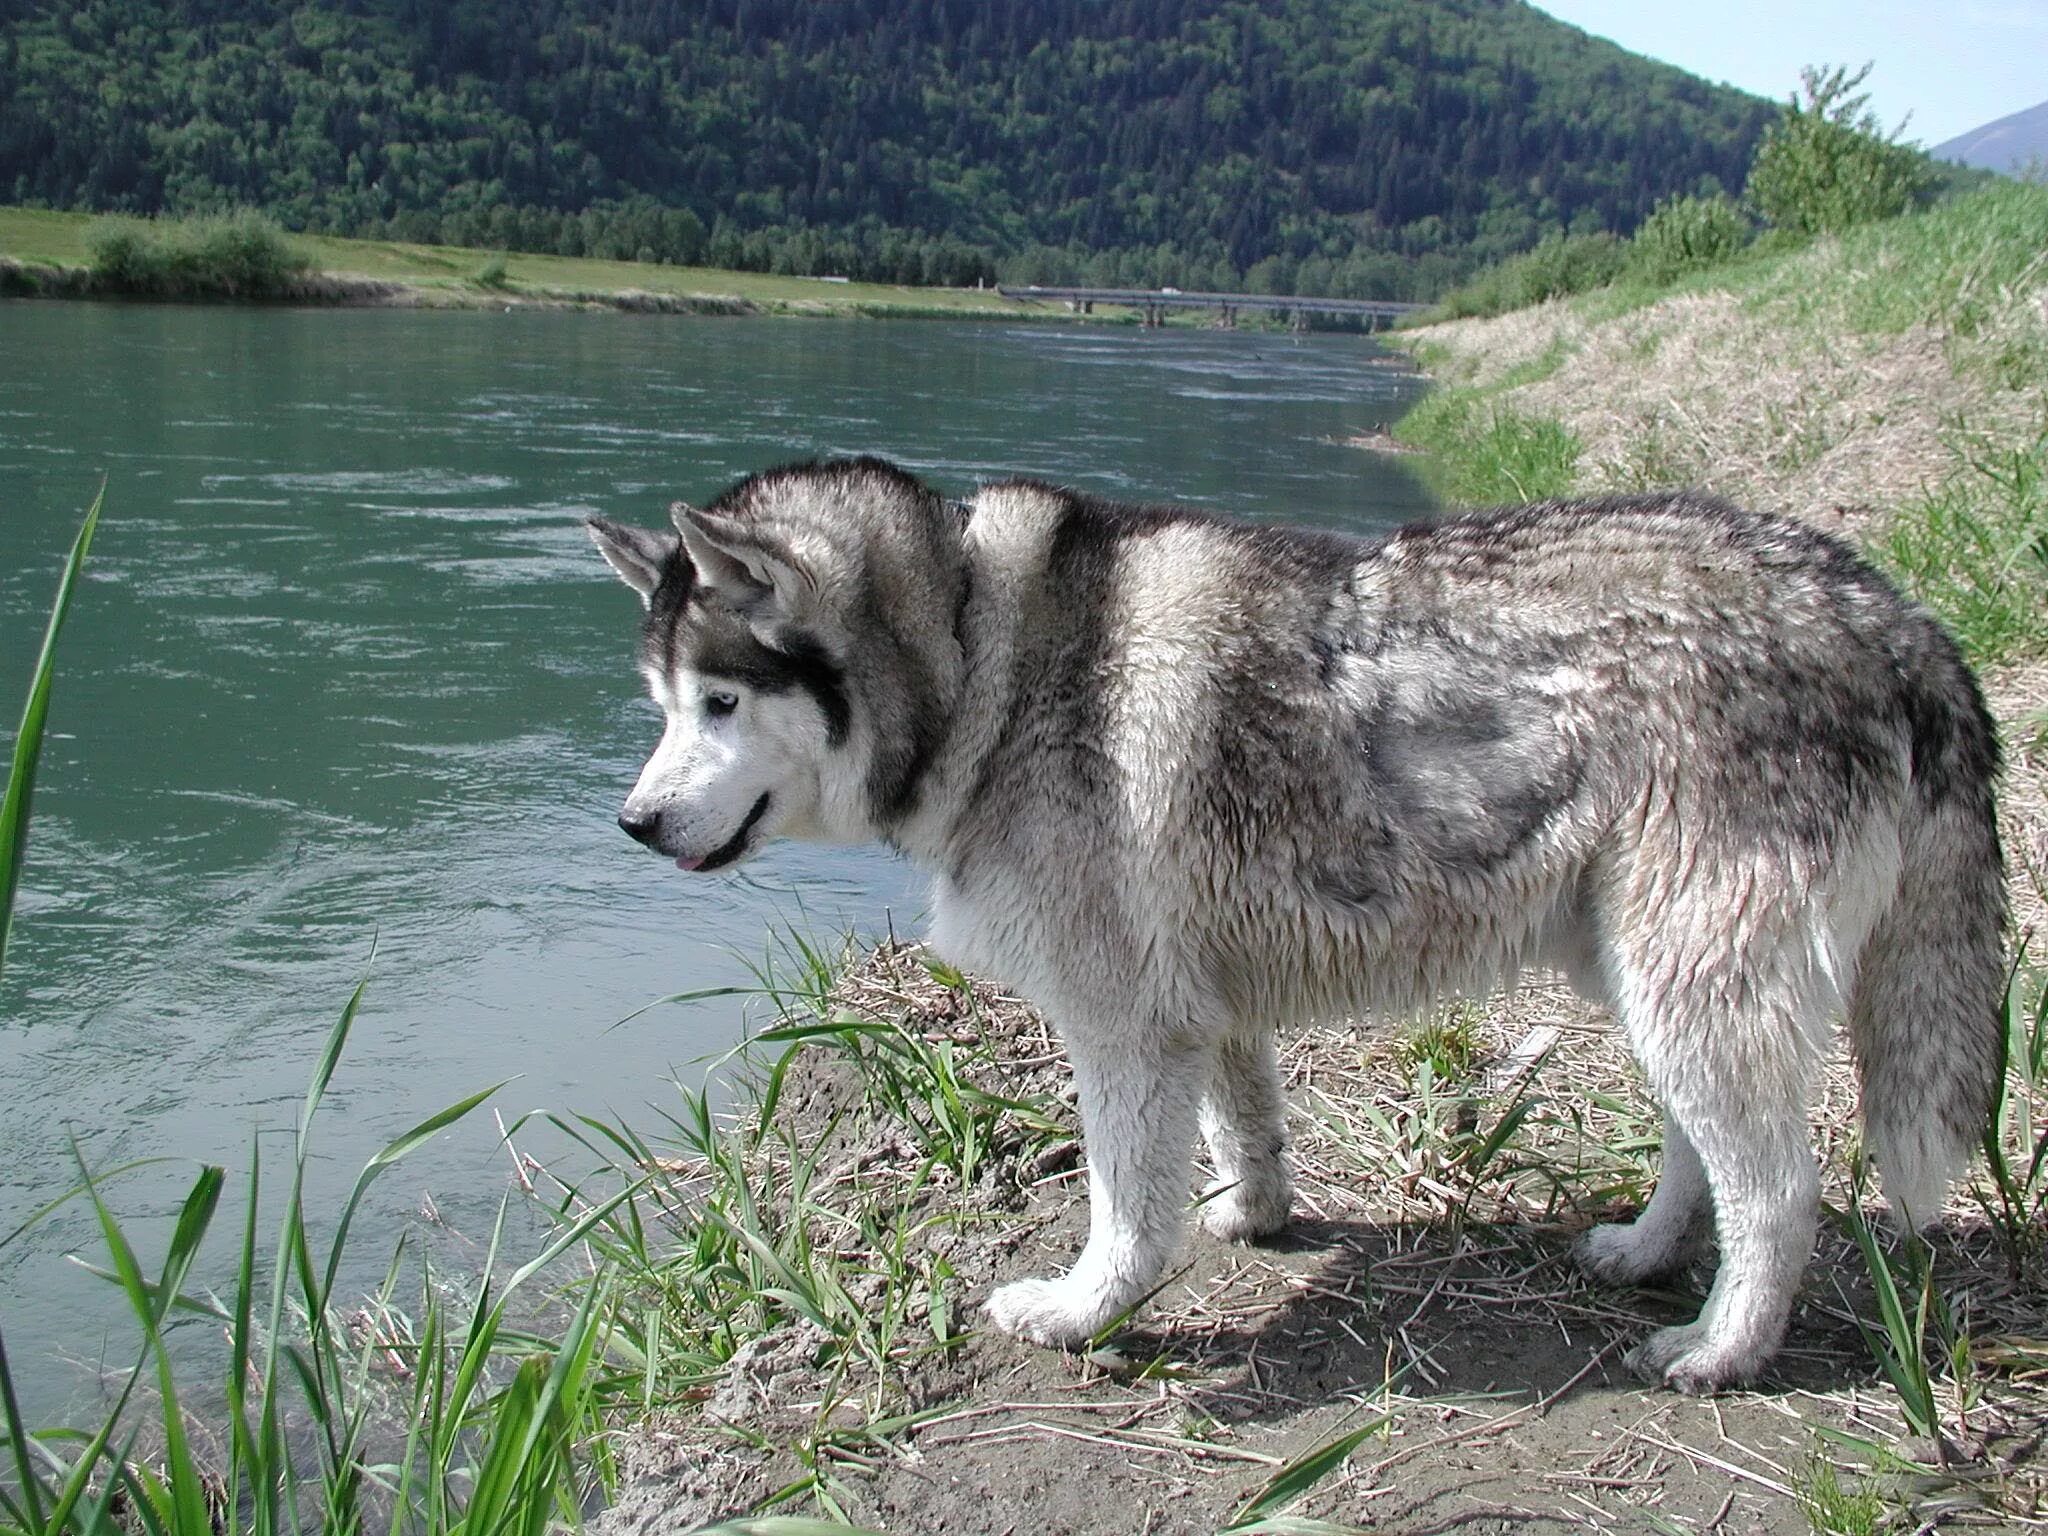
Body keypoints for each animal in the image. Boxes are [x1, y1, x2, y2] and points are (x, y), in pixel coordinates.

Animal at [585, 454, 2007, 1392]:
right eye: (659, 704)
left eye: (718, 703)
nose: (633, 824)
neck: (976, 653)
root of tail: (1891, 610)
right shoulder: (1201, 1006)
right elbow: (1243, 1125)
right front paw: (1253, 1215)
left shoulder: (1120, 1026)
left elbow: (1122, 1202)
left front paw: (1088, 1311)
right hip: (1643, 975)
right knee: (1703, 1149)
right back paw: (1648, 1251)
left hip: (1687, 980)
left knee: (1778, 1187)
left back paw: (1722, 1346)